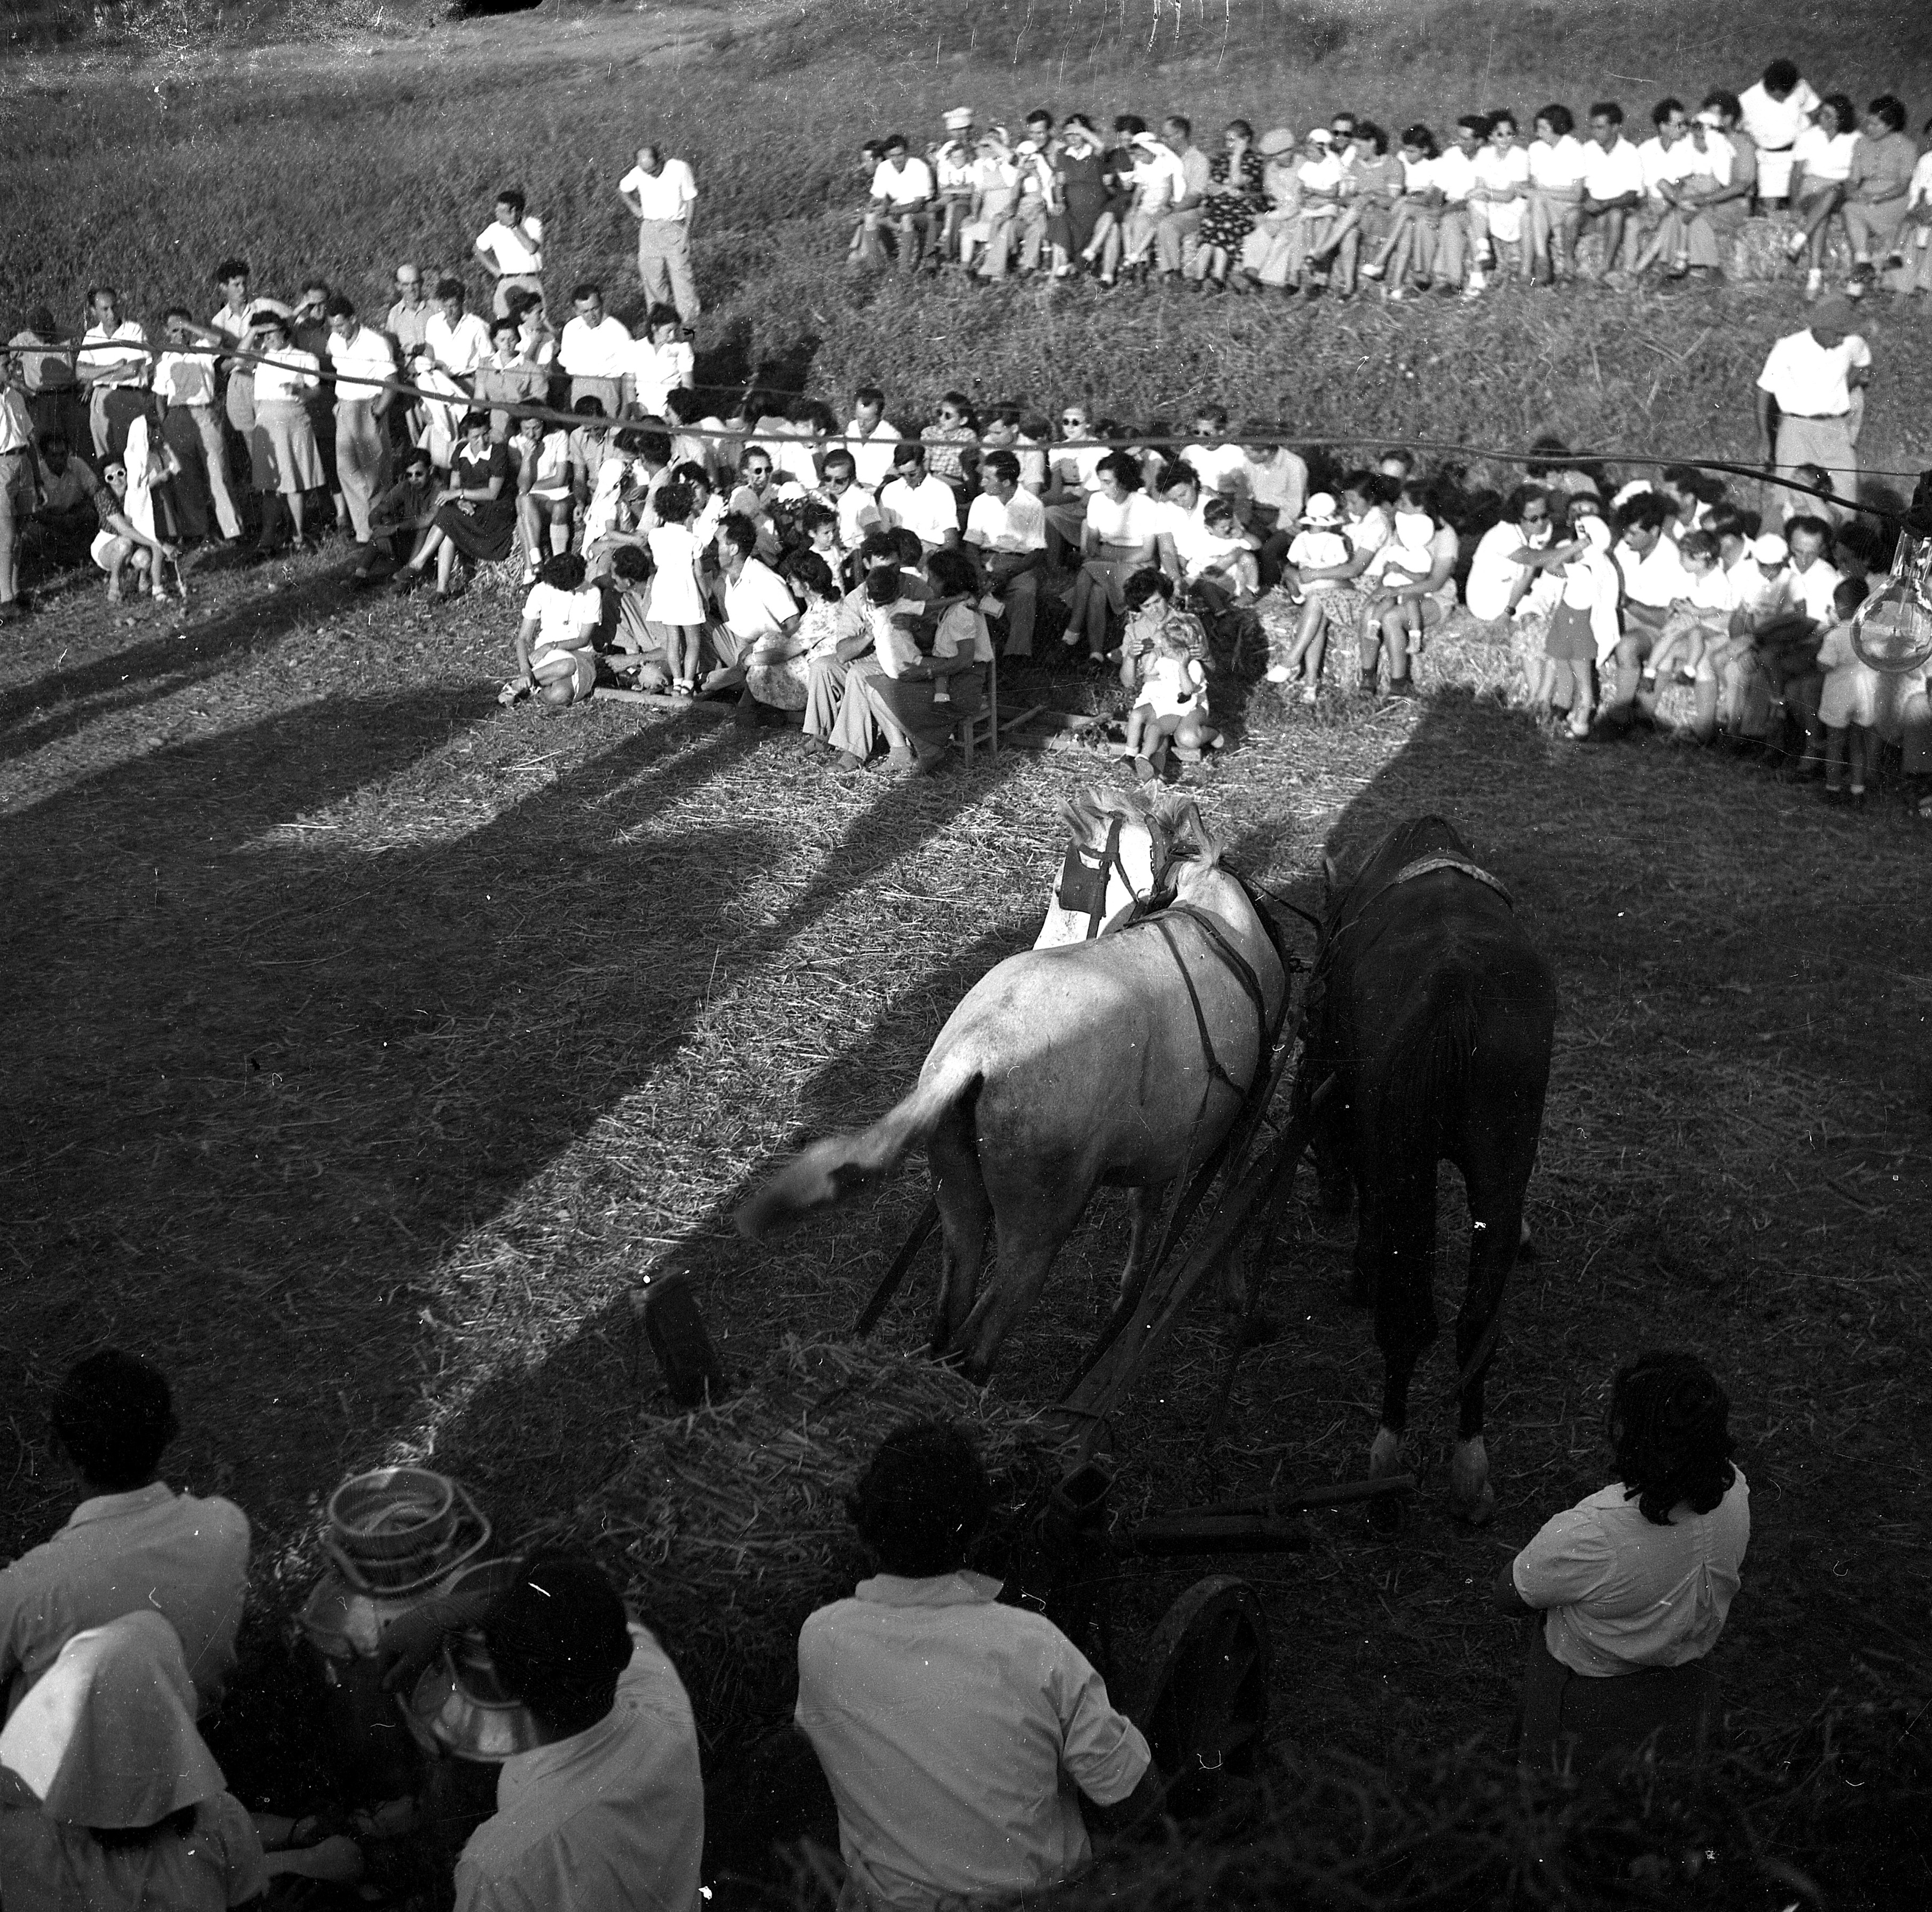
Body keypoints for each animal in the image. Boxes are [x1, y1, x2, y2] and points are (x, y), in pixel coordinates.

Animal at [734, 788, 1282, 1375]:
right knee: (983, 1333)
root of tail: (975, 1052)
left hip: (956, 1192)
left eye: (1067, 888)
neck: (1209, 901)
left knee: (951, 1312)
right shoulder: (1242, 1116)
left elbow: (1147, 1206)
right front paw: (1234, 1298)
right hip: (1038, 1224)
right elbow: (1227, 1211)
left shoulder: (1165, 1140)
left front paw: (1130, 1295)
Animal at [1290, 815, 1561, 1537]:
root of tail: (1454, 990)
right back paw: (1469, 1471)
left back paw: (1385, 1465)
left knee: (1407, 1320)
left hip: (1402, 1161)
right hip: (1497, 1159)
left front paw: (1357, 1267)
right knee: (1474, 1324)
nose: (1327, 1196)